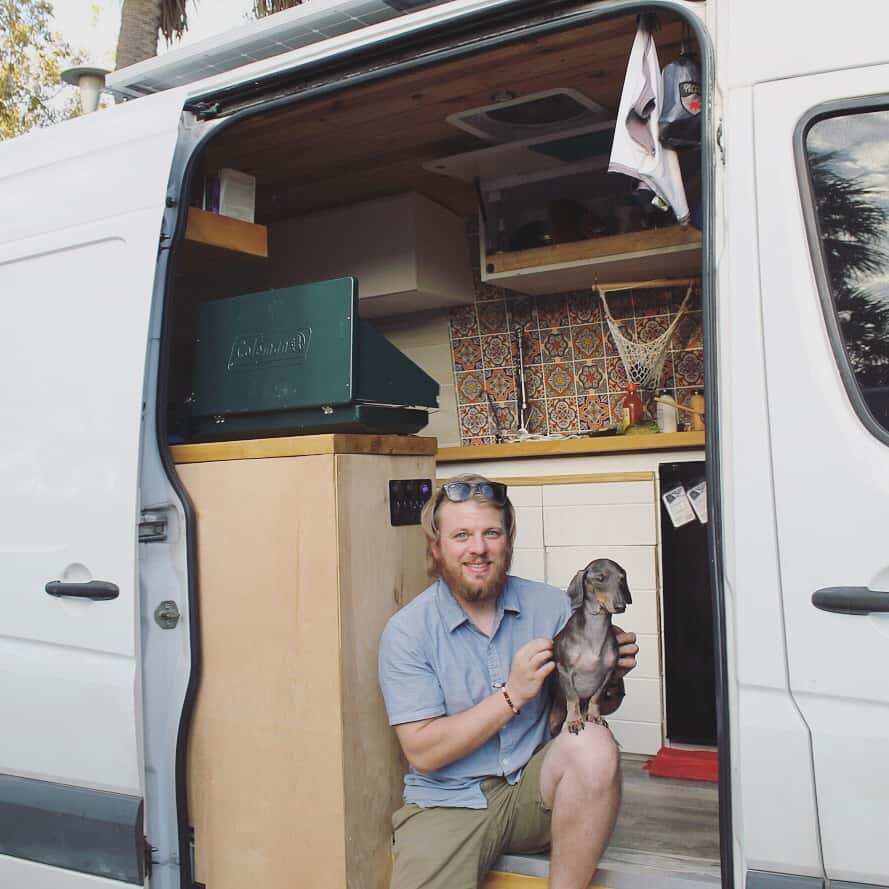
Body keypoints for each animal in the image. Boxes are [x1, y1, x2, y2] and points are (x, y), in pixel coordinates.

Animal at [548, 556, 632, 736]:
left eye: (622, 579)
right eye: (600, 578)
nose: (621, 606)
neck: (595, 632)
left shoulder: (607, 673)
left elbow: (596, 697)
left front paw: (595, 716)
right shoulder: (564, 670)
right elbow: (572, 698)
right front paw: (574, 721)